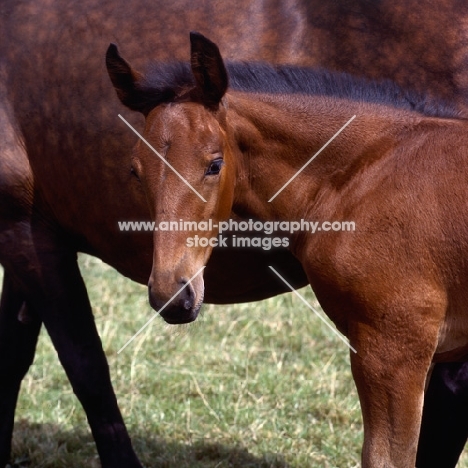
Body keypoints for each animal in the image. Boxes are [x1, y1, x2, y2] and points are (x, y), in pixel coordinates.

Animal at [2, 0, 468, 466]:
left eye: (214, 164)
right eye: (135, 171)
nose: (173, 294)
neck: (370, 169)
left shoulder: (393, 351)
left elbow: (83, 366)